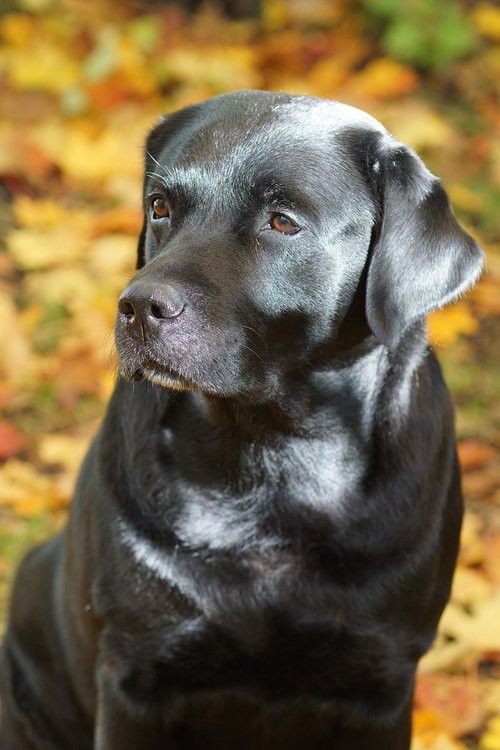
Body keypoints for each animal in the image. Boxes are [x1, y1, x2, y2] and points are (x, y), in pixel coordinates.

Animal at [0, 91, 484, 748]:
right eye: (160, 206)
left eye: (282, 221)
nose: (138, 306)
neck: (272, 457)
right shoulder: (135, 670)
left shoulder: (381, 678)